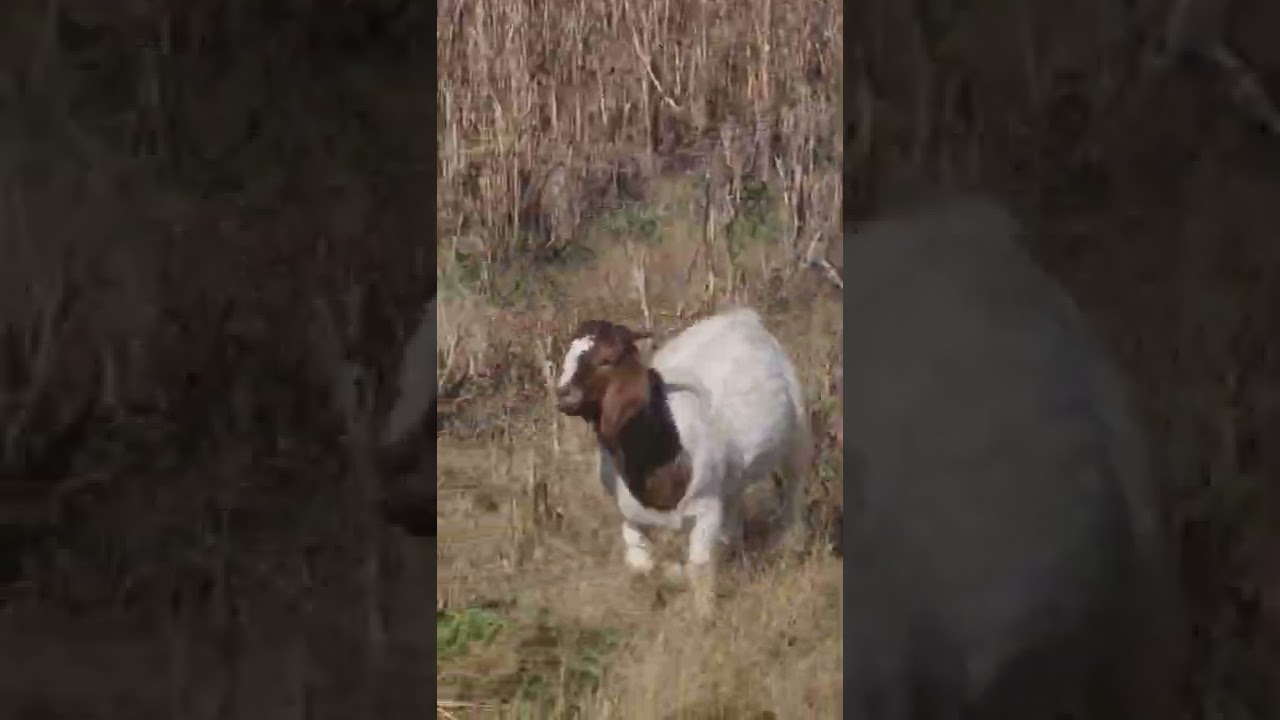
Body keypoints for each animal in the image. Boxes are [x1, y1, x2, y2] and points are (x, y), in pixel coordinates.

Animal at [554, 308, 811, 616]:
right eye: (568, 353)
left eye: (607, 359)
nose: (563, 393)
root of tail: (742, 316)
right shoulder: (629, 515)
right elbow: (642, 565)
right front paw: (668, 577)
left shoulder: (706, 506)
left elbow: (699, 565)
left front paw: (705, 615)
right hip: (732, 478)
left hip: (797, 432)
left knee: (794, 484)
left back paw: (793, 544)